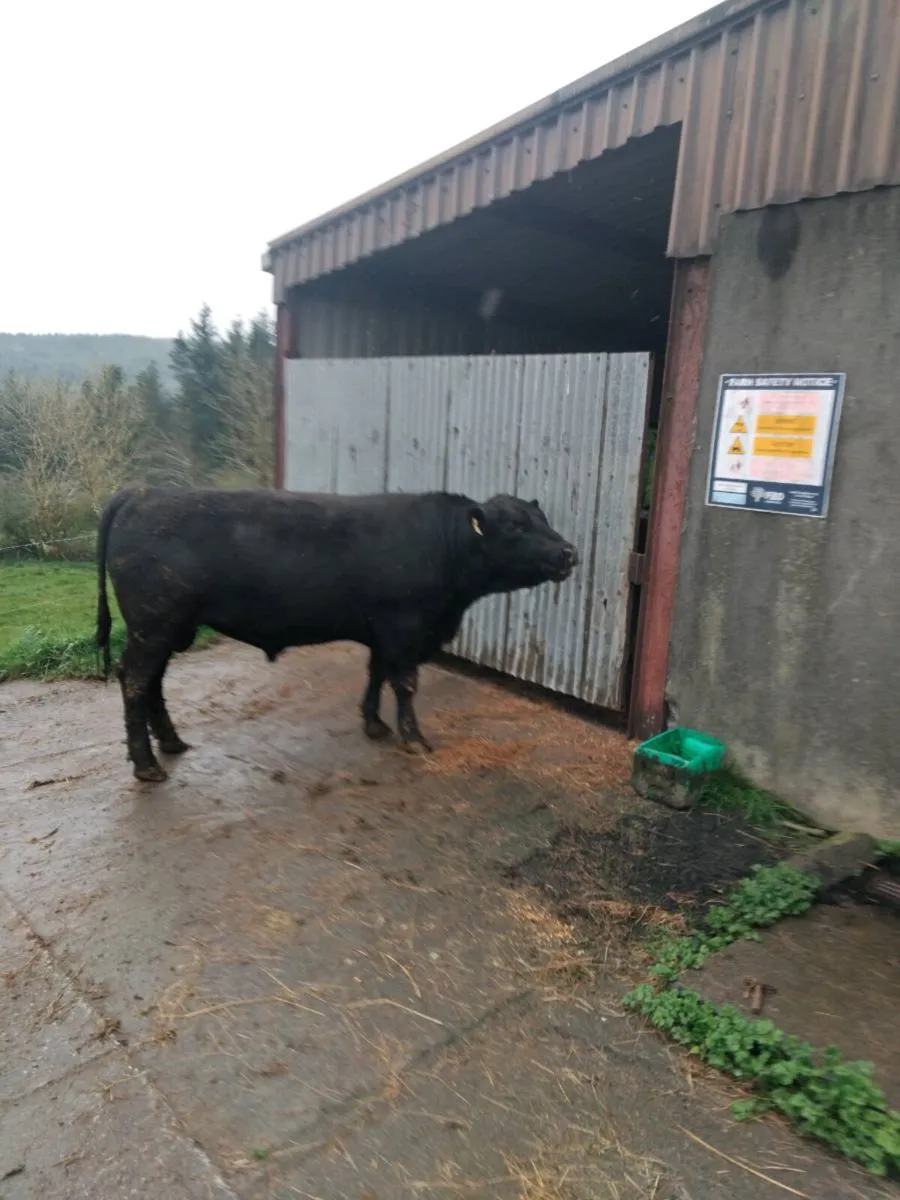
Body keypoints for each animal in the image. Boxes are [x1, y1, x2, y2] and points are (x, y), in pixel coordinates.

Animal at [96, 486, 579, 782]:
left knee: (153, 682)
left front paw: (374, 724)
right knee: (135, 680)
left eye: (543, 517)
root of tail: (145, 491)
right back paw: (147, 765)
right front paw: (414, 738)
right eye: (515, 526)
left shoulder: (383, 629)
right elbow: (405, 682)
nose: (569, 551)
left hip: (168, 628)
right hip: (154, 623)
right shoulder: (405, 627)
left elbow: (376, 672)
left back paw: (172, 743)